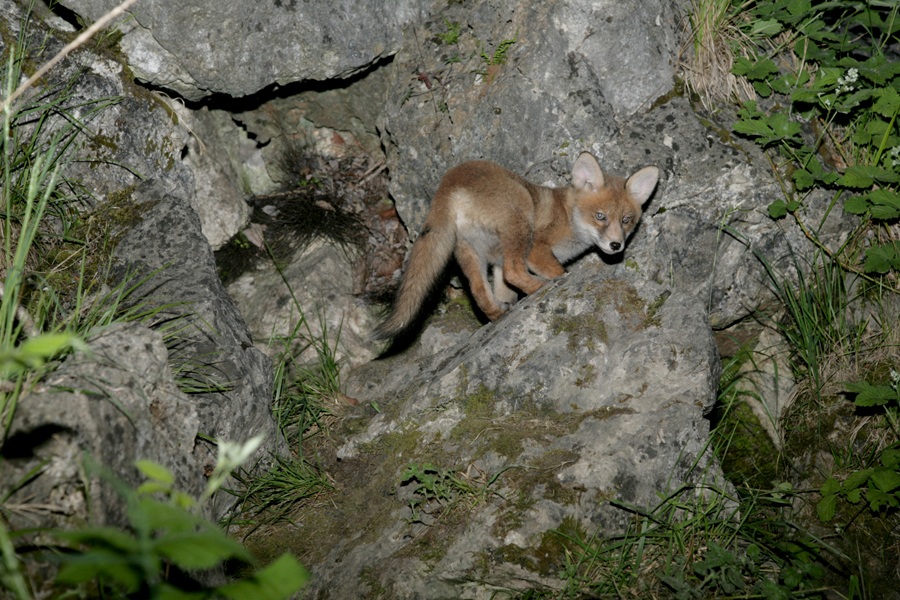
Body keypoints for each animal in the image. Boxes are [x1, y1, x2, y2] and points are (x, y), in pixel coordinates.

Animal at [373, 152, 660, 340]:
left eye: (626, 220)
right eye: (600, 216)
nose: (616, 245)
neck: (568, 216)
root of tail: (450, 184)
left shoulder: (497, 262)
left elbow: (501, 289)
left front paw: (506, 304)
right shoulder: (537, 249)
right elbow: (547, 269)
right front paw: (557, 279)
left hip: (469, 251)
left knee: (479, 292)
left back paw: (498, 315)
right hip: (520, 220)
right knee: (515, 271)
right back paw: (542, 288)